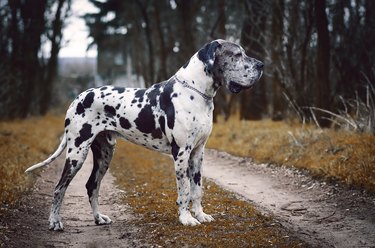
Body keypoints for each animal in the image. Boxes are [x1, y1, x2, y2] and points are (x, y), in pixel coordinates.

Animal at [25, 38, 264, 231]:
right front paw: (186, 219)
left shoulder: (198, 153)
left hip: (104, 154)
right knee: (59, 188)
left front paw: (201, 215)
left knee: (92, 185)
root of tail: (78, 98)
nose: (261, 65)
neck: (196, 92)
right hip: (77, 151)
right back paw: (55, 222)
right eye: (237, 54)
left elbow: (197, 188)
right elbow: (185, 190)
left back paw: (98, 218)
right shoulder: (181, 153)